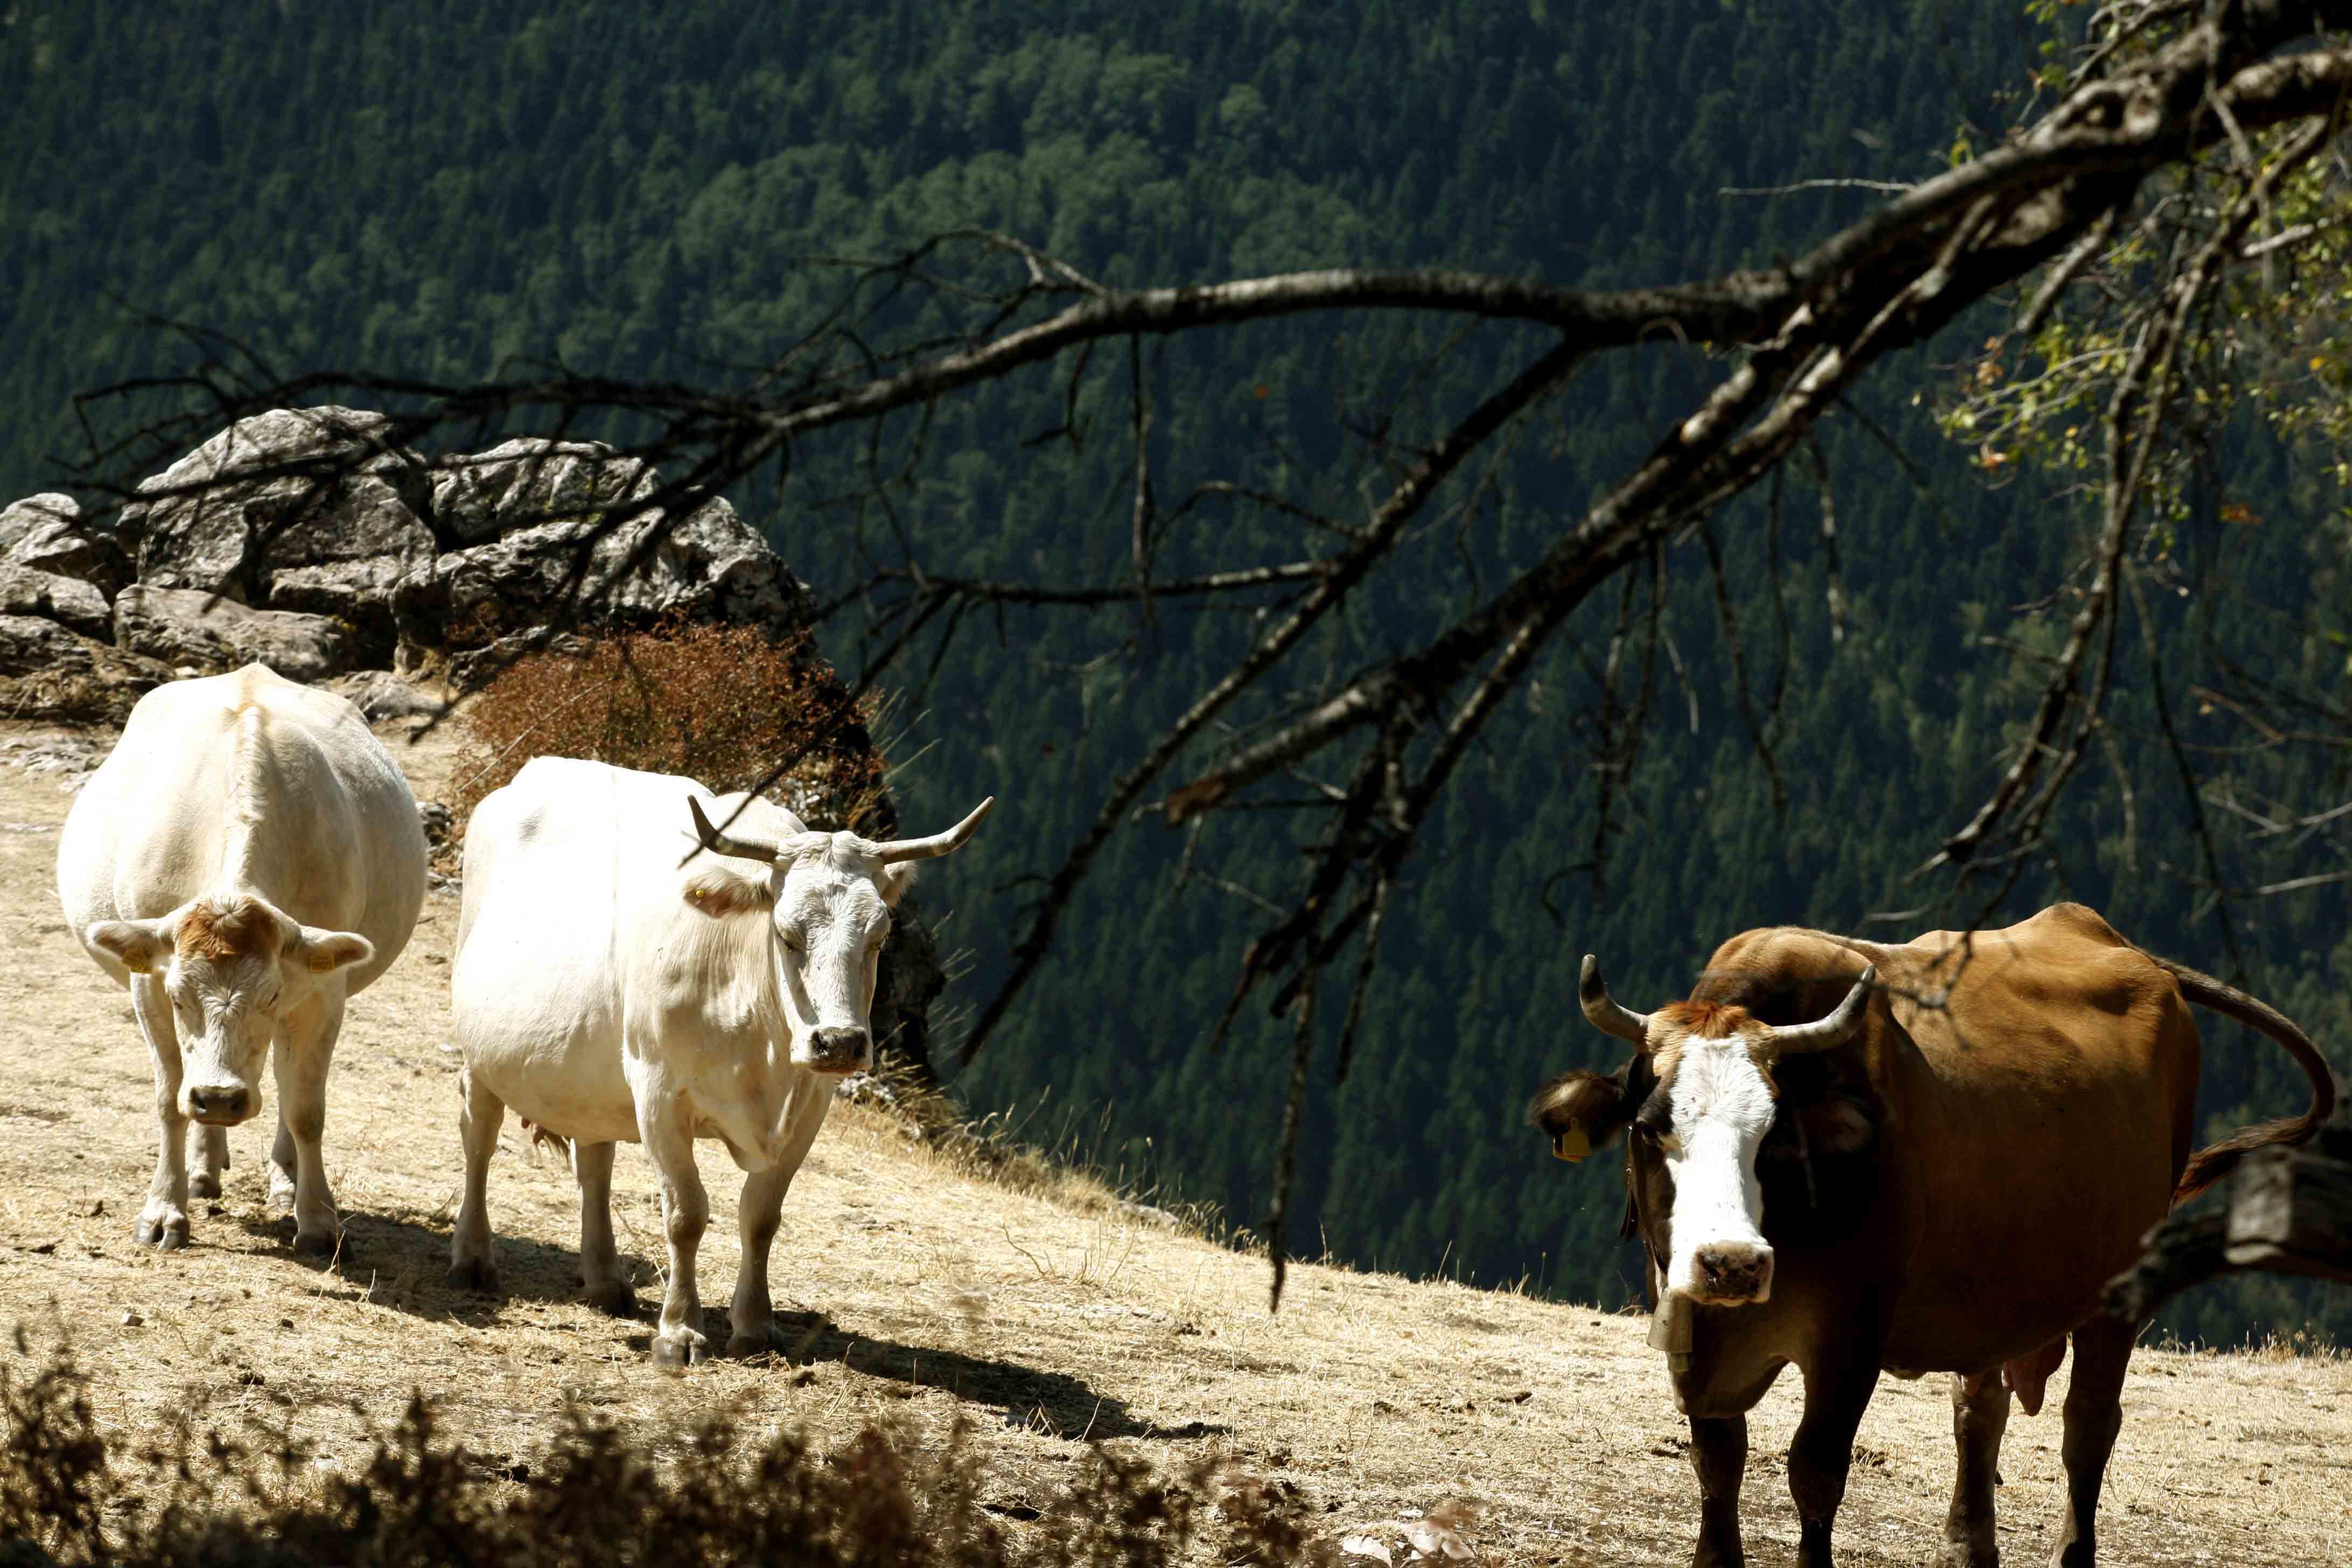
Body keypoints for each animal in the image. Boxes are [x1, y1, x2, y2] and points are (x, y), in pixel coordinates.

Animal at [57, 663, 430, 1250]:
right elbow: (169, 1097)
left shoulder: (321, 991)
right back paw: (203, 1169)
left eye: (272, 993)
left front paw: (318, 1219)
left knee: (283, 1076)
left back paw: (283, 1180)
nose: (219, 1097)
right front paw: (164, 1209)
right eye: (178, 996)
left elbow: (306, 1108)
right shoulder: (148, 983)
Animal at [444, 757, 988, 1363]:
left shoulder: (810, 1107)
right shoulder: (659, 1092)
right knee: (480, 1136)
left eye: (880, 935)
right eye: (786, 934)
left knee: (595, 1162)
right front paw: (680, 1328)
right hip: (479, 1051)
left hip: (593, 1076)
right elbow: (686, 1214)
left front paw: (755, 1324)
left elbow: (761, 1217)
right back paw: (473, 1258)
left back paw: (605, 1279)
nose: (840, 1041)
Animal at [1524, 907, 2333, 1568]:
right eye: (1649, 1126)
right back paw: (1968, 1544)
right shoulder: (1692, 1330)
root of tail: (2118, 943)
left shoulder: (1851, 1337)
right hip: (1992, 1295)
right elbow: (1717, 1465)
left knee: (2088, 1425)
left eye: (1776, 1133)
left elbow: (1816, 1470)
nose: (1732, 1264)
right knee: (1980, 1410)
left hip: (2118, 1289)